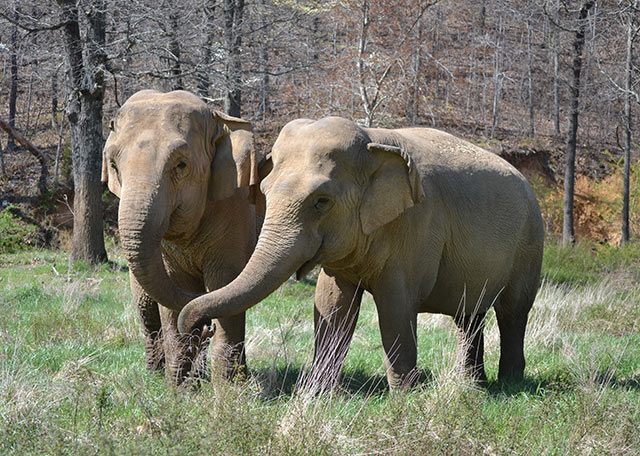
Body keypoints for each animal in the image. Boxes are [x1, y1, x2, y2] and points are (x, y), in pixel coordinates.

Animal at [100, 90, 260, 384]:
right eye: (114, 165)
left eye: (181, 165)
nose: (207, 327)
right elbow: (172, 293)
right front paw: (178, 388)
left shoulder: (236, 210)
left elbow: (225, 284)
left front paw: (230, 387)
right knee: (147, 312)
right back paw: (155, 374)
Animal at [176, 116, 544, 388]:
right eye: (263, 193)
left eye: (321, 202)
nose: (201, 328)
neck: (374, 140)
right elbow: (330, 304)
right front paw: (318, 393)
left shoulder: (417, 225)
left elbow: (396, 306)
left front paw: (405, 397)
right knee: (470, 317)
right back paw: (473, 386)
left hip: (530, 241)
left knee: (513, 312)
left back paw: (509, 383)